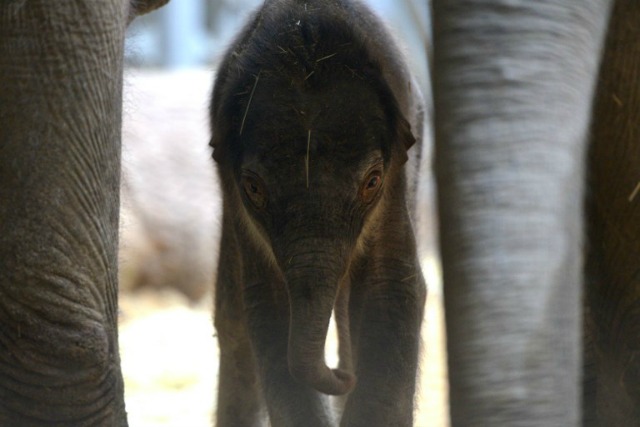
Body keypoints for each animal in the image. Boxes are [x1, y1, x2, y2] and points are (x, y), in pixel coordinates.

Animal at [210, 1, 428, 426]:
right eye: (254, 189)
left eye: (372, 181)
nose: (342, 377)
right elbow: (267, 303)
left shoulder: (398, 178)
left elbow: (393, 287)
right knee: (232, 323)